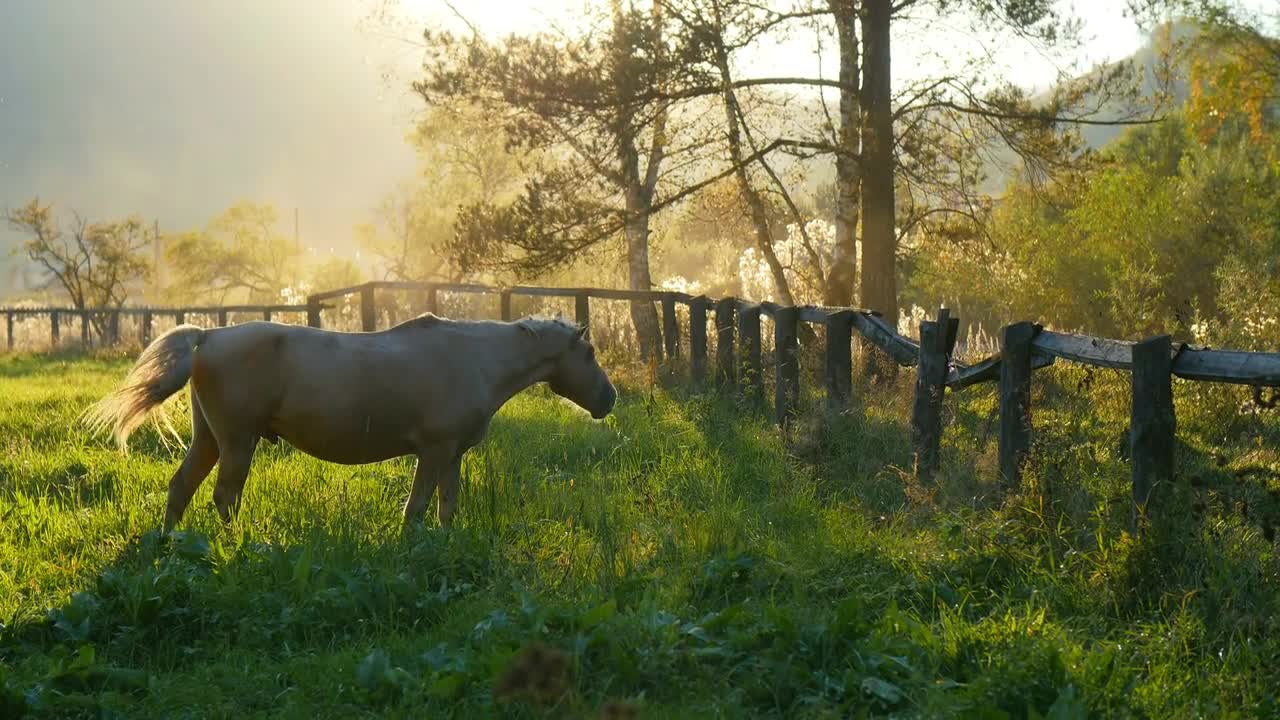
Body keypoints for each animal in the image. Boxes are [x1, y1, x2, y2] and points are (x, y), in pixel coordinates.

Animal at [83, 311, 614, 530]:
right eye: (588, 353)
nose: (609, 399)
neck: (475, 359)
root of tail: (209, 335)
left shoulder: (452, 457)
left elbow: (447, 508)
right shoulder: (434, 451)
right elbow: (417, 509)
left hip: (209, 440)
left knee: (182, 487)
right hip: (236, 442)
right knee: (224, 496)